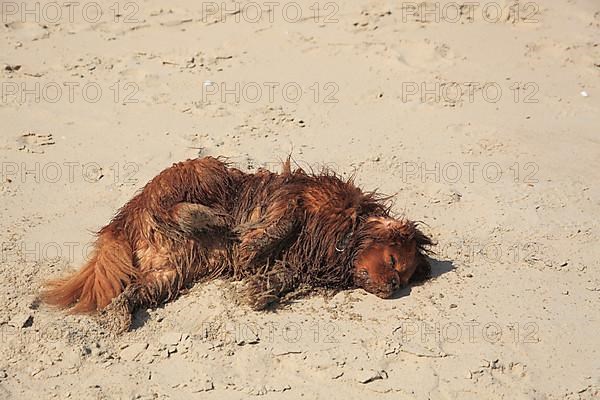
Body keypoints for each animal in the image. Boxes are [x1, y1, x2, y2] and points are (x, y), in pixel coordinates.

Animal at [41, 156, 432, 332]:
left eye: (404, 278)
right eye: (394, 264)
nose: (393, 287)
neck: (344, 236)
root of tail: (122, 220)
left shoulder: (300, 263)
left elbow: (281, 277)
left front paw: (258, 292)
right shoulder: (297, 197)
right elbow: (283, 223)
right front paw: (249, 248)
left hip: (167, 273)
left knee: (132, 291)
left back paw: (120, 312)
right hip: (203, 171)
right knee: (177, 204)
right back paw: (209, 219)